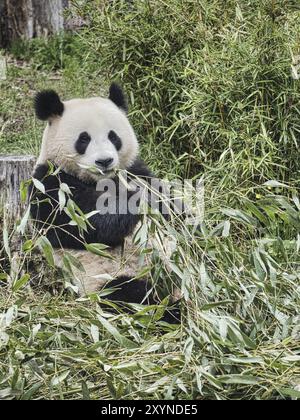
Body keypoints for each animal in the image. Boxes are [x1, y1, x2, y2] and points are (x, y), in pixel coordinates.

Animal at [30, 83, 180, 324]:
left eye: (113, 136)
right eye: (84, 139)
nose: (104, 161)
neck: (101, 180)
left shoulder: (135, 171)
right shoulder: (51, 185)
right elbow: (87, 225)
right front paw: (136, 203)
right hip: (103, 279)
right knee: (130, 296)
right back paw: (168, 311)